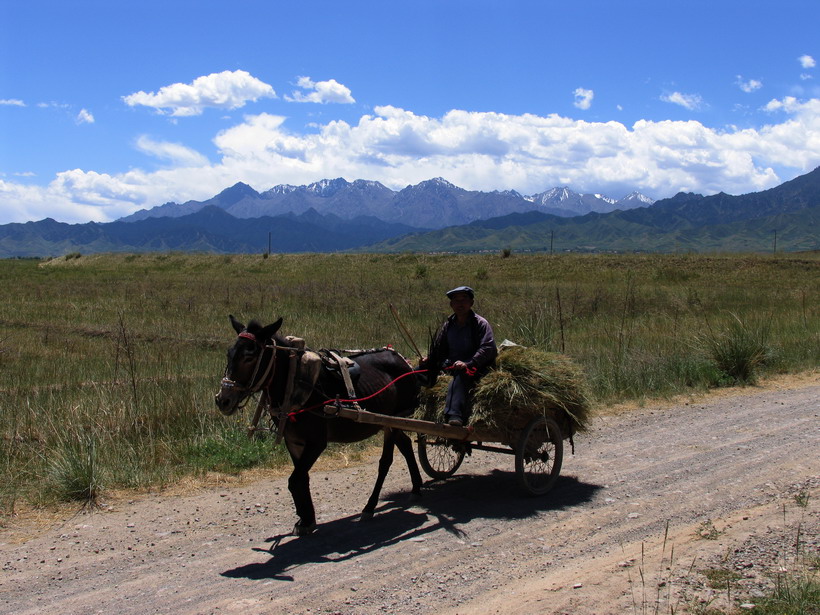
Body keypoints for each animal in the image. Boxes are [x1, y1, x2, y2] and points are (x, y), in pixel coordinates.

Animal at [215, 316, 422, 536]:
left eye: (250, 357)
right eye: (229, 353)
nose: (222, 400)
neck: (294, 382)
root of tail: (403, 360)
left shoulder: (316, 442)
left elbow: (295, 480)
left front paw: (306, 520)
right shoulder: (293, 441)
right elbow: (301, 478)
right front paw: (306, 518)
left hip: (392, 421)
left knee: (385, 462)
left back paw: (370, 506)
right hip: (390, 422)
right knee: (406, 444)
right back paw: (416, 488)